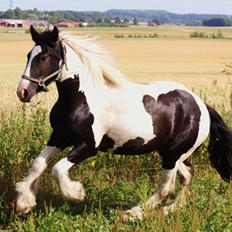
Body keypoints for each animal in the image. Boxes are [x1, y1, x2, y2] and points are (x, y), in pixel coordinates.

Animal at [15, 25, 232, 219]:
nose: (23, 92)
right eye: (28, 55)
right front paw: (24, 204)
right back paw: (168, 210)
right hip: (170, 152)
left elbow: (57, 169)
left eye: (43, 57)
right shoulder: (59, 137)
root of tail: (201, 105)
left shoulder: (89, 146)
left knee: (166, 186)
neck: (80, 98)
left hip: (175, 153)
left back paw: (132, 213)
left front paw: (76, 193)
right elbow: (38, 164)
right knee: (186, 175)